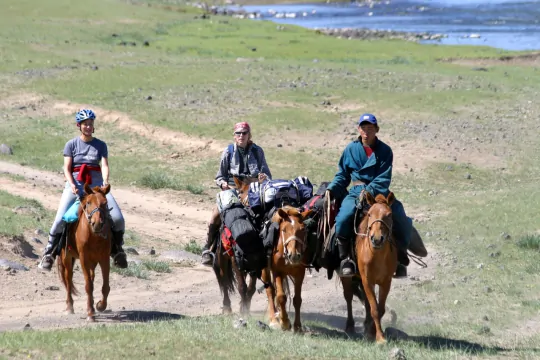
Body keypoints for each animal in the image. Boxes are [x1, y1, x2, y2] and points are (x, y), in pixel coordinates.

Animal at [58, 184, 113, 322]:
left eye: (105, 203)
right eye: (88, 203)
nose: (97, 223)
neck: (94, 236)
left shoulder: (104, 259)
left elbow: (105, 286)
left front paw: (100, 306)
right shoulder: (84, 259)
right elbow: (88, 286)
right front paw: (90, 314)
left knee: (91, 278)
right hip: (67, 257)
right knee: (68, 278)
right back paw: (70, 307)